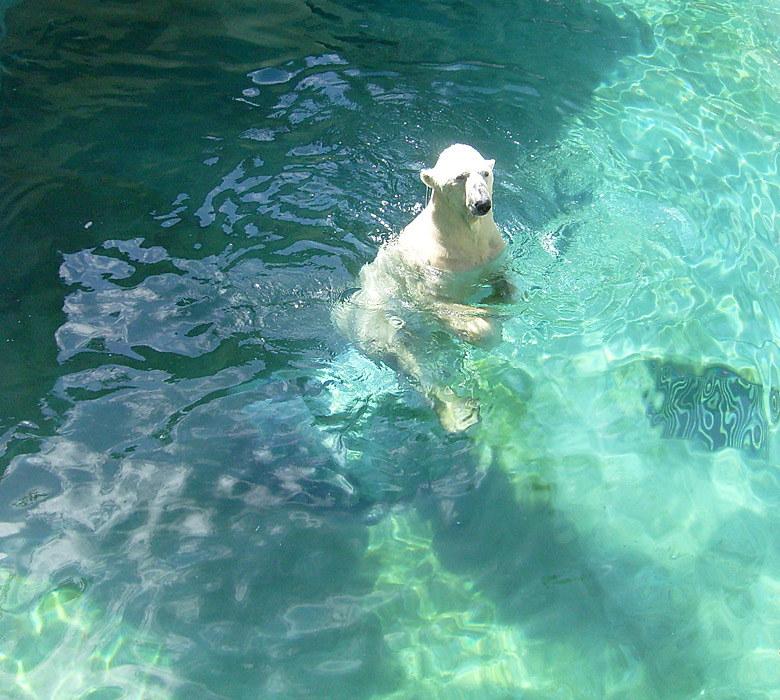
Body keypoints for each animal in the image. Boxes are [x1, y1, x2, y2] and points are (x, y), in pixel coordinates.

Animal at [332, 144, 508, 432]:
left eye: (485, 172)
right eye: (460, 177)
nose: (482, 204)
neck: (462, 236)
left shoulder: (491, 250)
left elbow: (503, 277)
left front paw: (500, 299)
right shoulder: (430, 268)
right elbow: (437, 304)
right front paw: (481, 325)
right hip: (374, 323)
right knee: (410, 358)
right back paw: (458, 412)